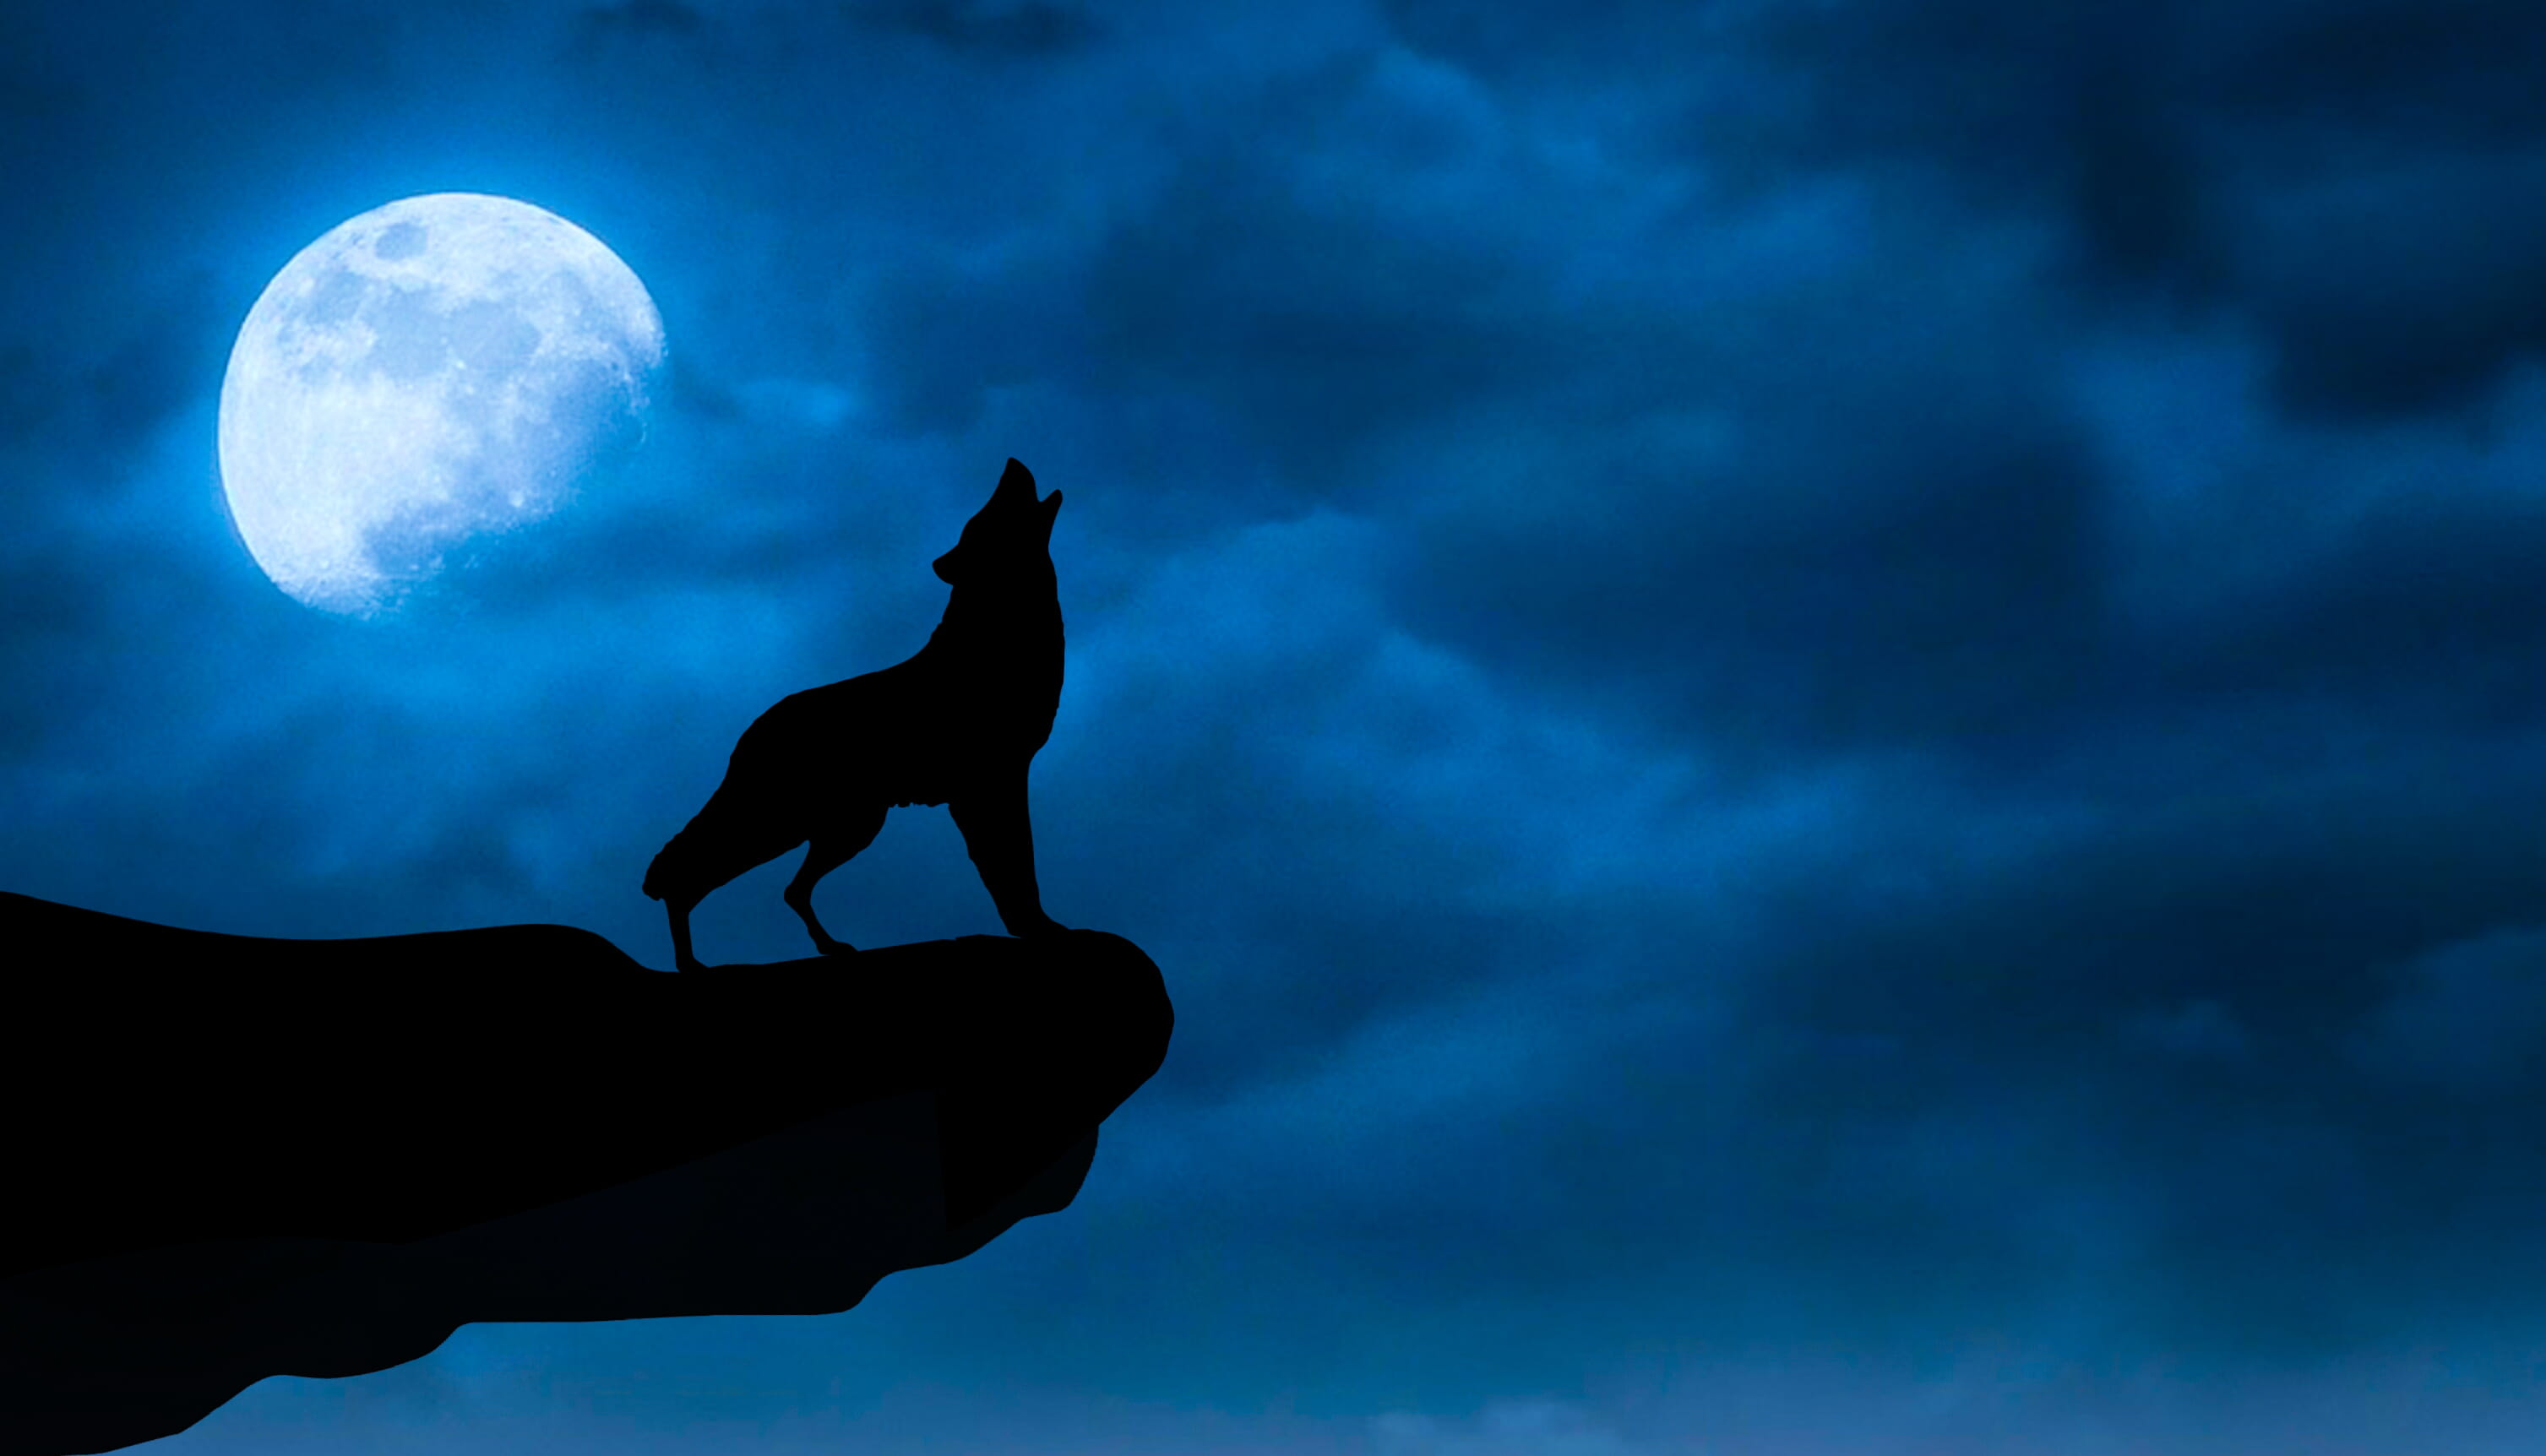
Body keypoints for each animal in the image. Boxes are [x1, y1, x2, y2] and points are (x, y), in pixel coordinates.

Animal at [643, 458, 1068, 972]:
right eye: (986, 517)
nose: (1012, 463)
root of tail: (749, 732)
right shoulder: (989, 783)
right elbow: (1014, 866)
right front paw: (1037, 929)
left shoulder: (995, 782)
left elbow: (1014, 867)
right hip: (787, 822)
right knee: (689, 870)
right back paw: (690, 964)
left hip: (846, 827)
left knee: (788, 889)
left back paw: (826, 947)